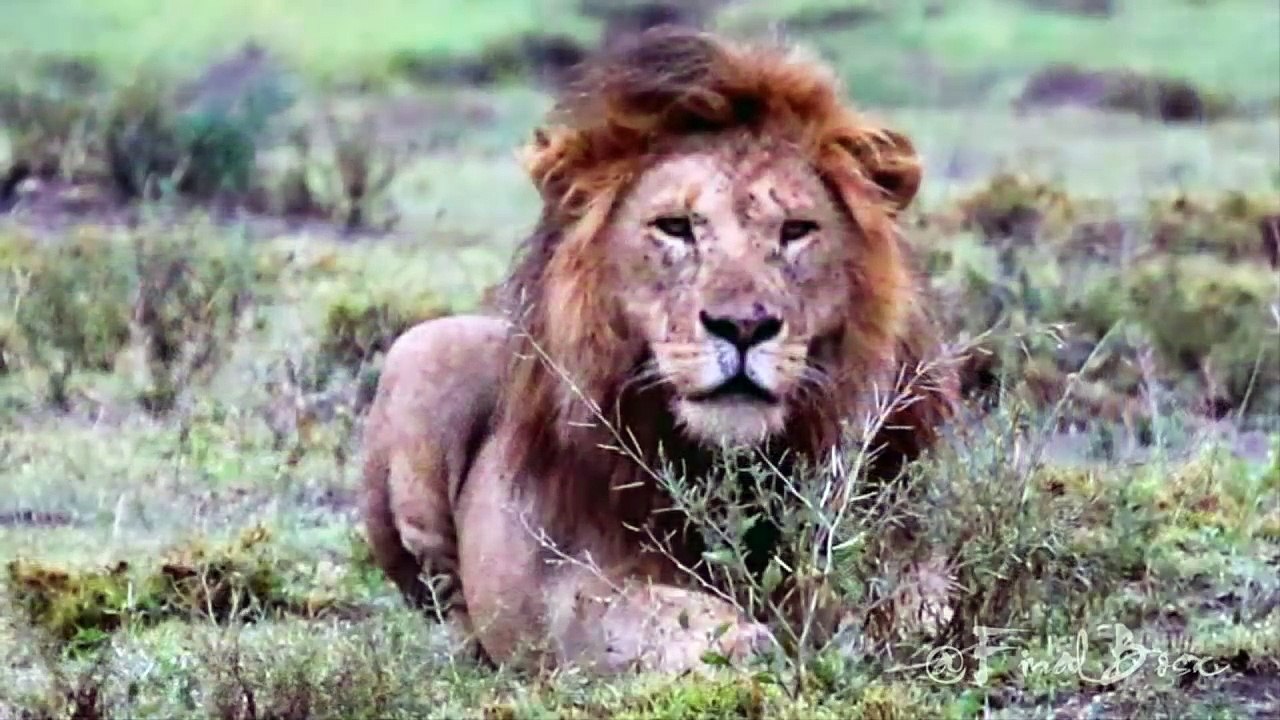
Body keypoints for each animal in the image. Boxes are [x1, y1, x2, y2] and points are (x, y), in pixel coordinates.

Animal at [360, 27, 958, 675]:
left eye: (796, 230)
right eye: (675, 227)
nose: (743, 326)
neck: (729, 470)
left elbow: (920, 600)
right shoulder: (569, 581)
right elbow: (655, 613)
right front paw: (744, 645)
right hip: (425, 349)